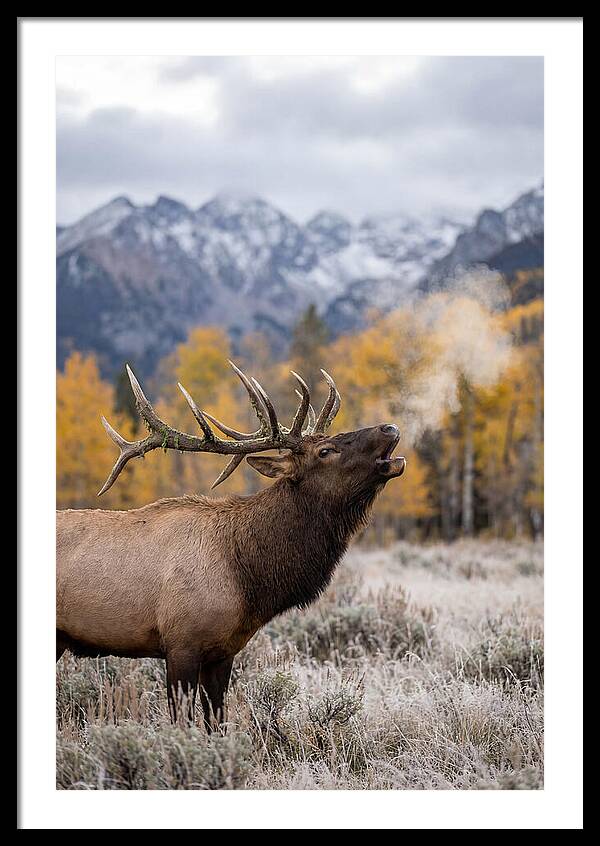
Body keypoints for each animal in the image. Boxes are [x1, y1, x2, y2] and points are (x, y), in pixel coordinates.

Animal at [56, 361, 406, 730]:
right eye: (325, 451)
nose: (389, 427)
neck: (247, 578)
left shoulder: (223, 652)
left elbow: (217, 722)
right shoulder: (181, 643)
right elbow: (182, 722)